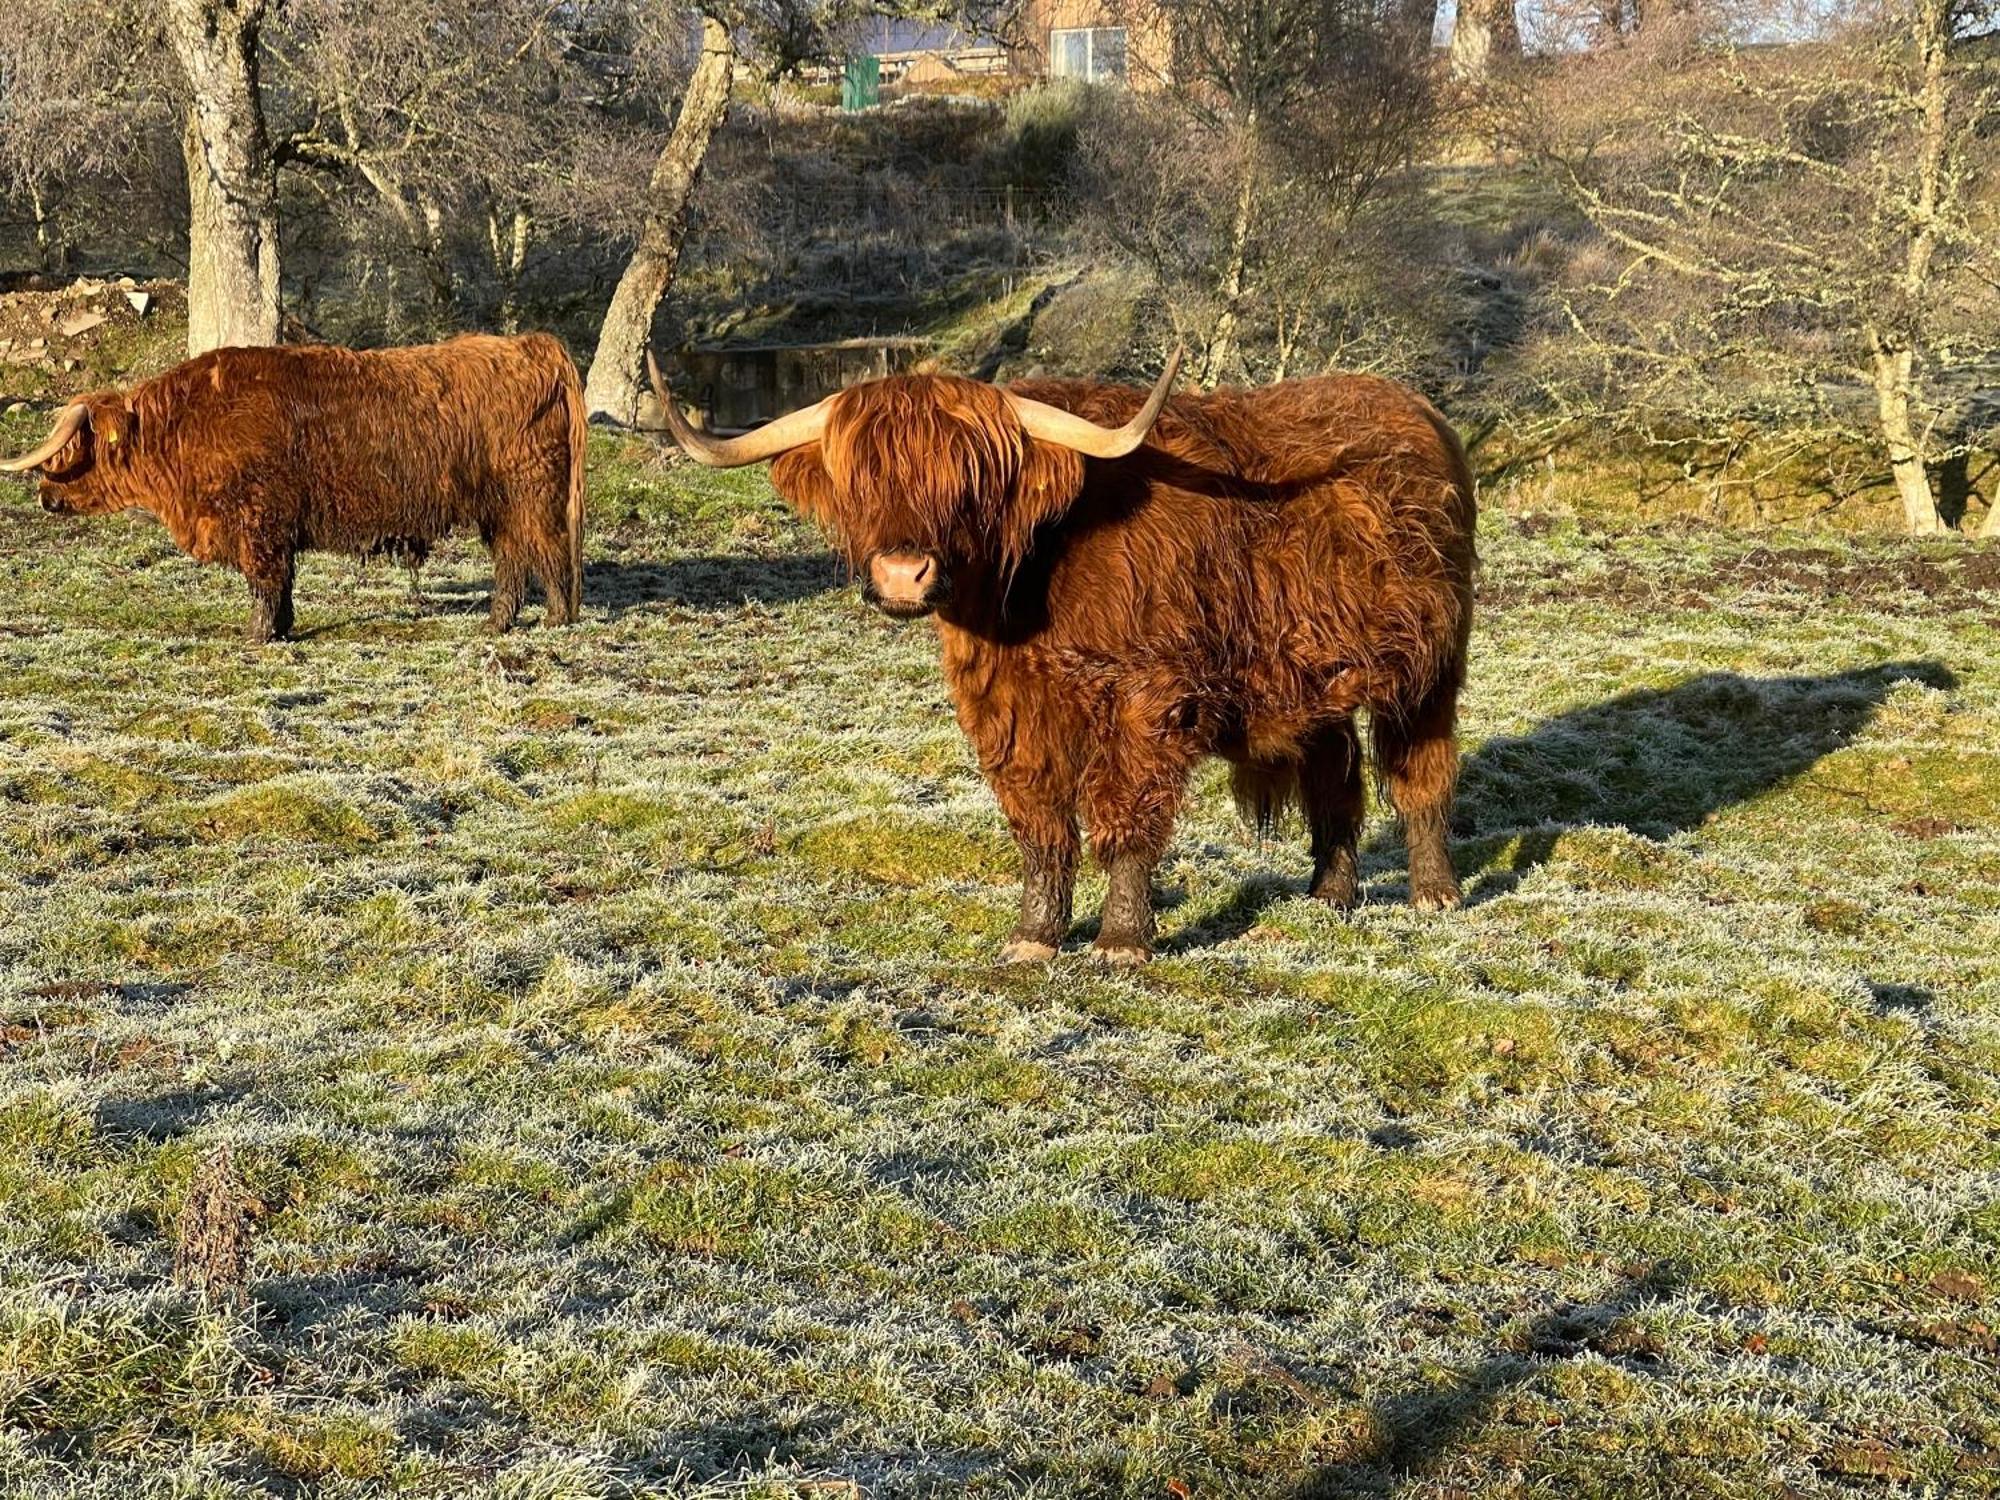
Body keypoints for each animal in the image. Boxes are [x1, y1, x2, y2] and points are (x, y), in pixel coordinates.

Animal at [1, 334, 584, 640]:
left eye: (71, 449)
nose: (44, 495)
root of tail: (535, 345)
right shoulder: (274, 528)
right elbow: (281, 585)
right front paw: (280, 628)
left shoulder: (259, 520)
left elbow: (265, 581)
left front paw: (258, 635)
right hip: (500, 507)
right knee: (513, 559)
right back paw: (496, 623)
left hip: (532, 494)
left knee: (549, 553)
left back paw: (556, 620)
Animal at [652, 350, 1472, 964]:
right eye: (862, 480)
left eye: (971, 482)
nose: (903, 575)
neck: (1028, 587)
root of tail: (1415, 408)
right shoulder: (1008, 707)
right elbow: (1040, 822)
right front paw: (1035, 935)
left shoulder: (1147, 700)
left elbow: (1125, 812)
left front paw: (1121, 940)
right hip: (1313, 673)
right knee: (1334, 774)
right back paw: (1329, 895)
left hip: (1433, 664)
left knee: (1420, 769)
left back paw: (1434, 893)